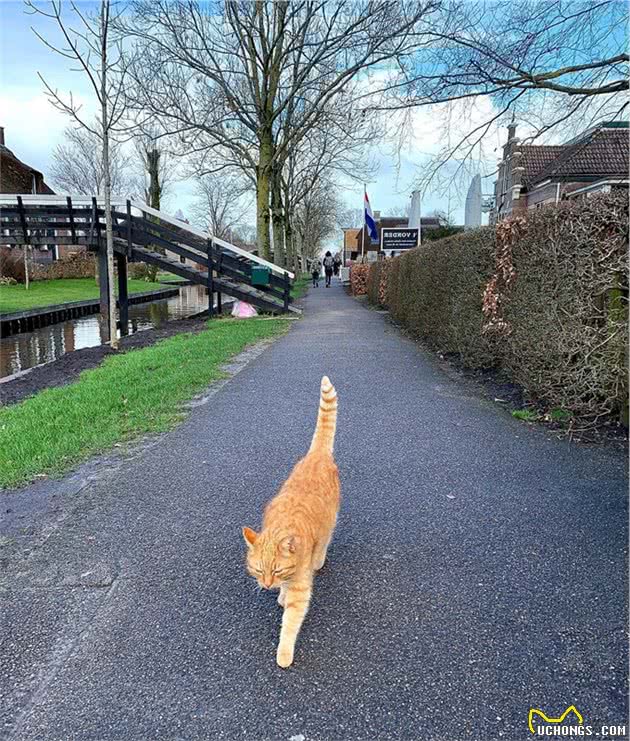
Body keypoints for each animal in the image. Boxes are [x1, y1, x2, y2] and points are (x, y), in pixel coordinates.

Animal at [242, 372, 340, 668]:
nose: (266, 585)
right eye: (258, 570)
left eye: (275, 570)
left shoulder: (300, 586)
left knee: (326, 540)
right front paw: (280, 596)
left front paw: (284, 653)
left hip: (329, 523)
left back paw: (319, 560)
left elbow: (291, 620)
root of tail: (316, 454)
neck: (280, 525)